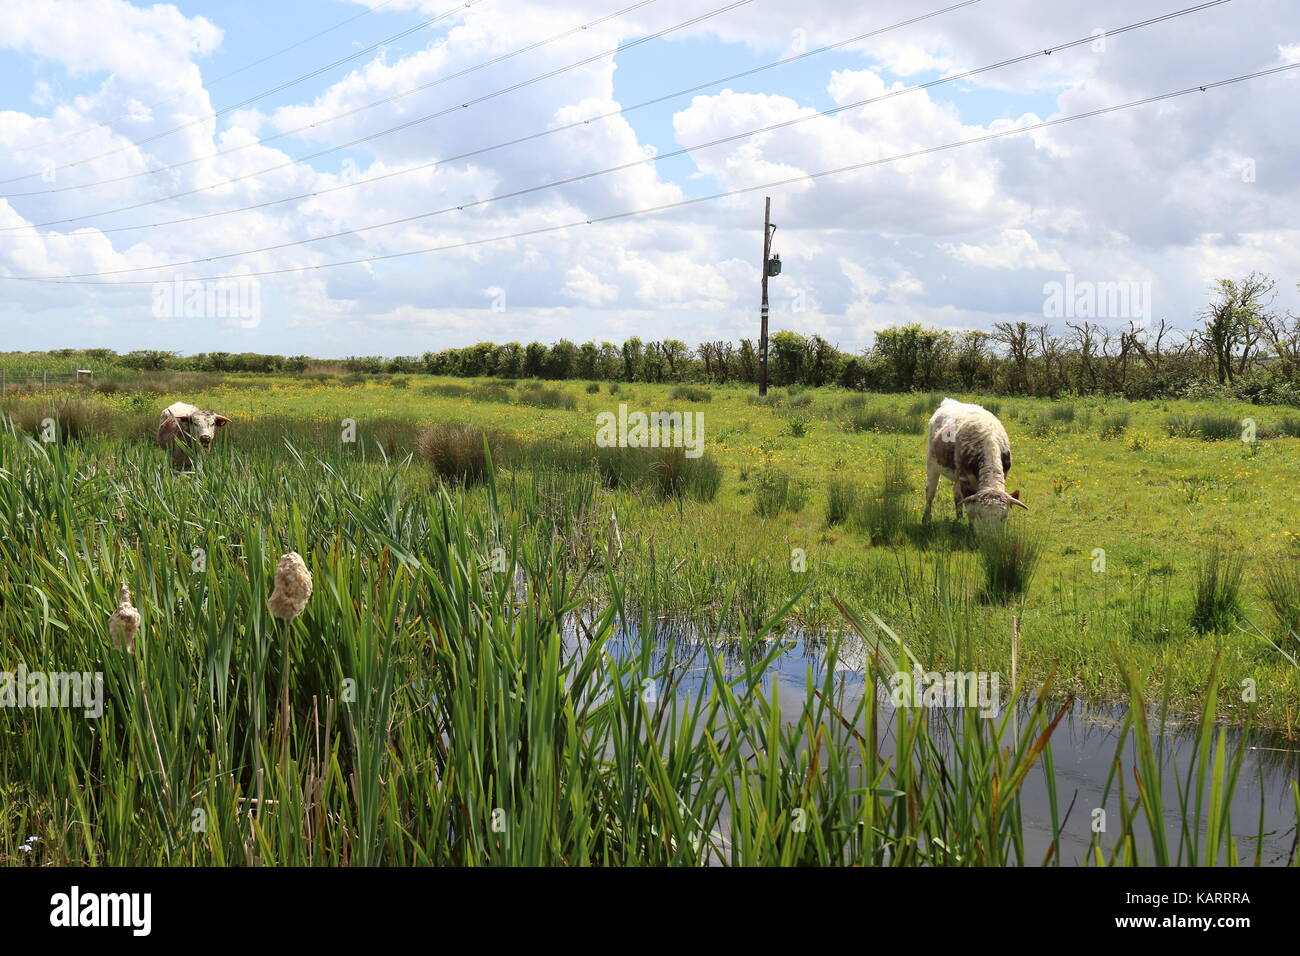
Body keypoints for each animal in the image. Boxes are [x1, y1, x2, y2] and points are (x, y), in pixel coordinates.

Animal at [925, 400, 1024, 528]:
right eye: (981, 516)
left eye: (1004, 517)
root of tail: (949, 401)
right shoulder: (965, 481)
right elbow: (970, 508)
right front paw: (971, 529)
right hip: (932, 464)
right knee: (931, 491)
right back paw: (926, 518)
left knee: (956, 494)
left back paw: (959, 518)